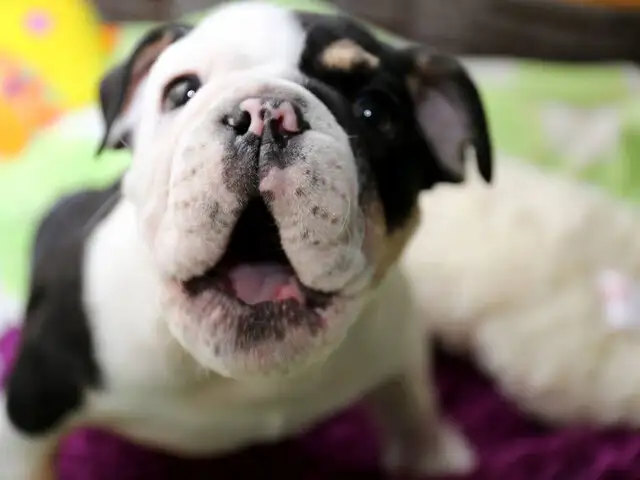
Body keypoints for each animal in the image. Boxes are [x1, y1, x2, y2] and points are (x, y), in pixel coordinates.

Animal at [0, 1, 490, 478]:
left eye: (375, 110)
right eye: (181, 92)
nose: (266, 113)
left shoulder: (398, 333)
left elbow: (413, 396)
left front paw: (431, 453)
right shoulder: (30, 406)